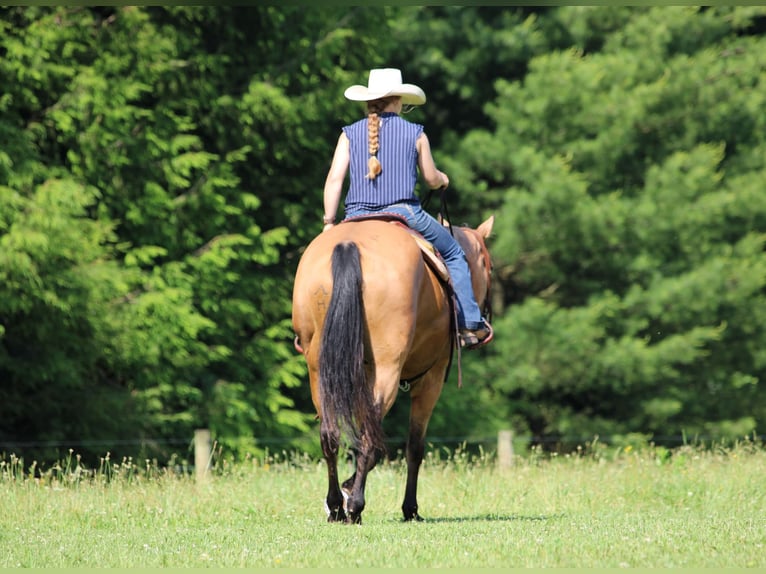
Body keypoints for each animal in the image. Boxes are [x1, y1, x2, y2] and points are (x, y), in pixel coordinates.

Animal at [291, 214, 494, 524]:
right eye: (489, 266)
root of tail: (349, 244)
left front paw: (346, 489)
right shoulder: (431, 380)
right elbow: (414, 447)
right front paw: (409, 508)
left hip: (319, 373)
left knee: (331, 436)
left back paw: (336, 506)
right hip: (387, 370)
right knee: (368, 439)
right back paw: (355, 506)